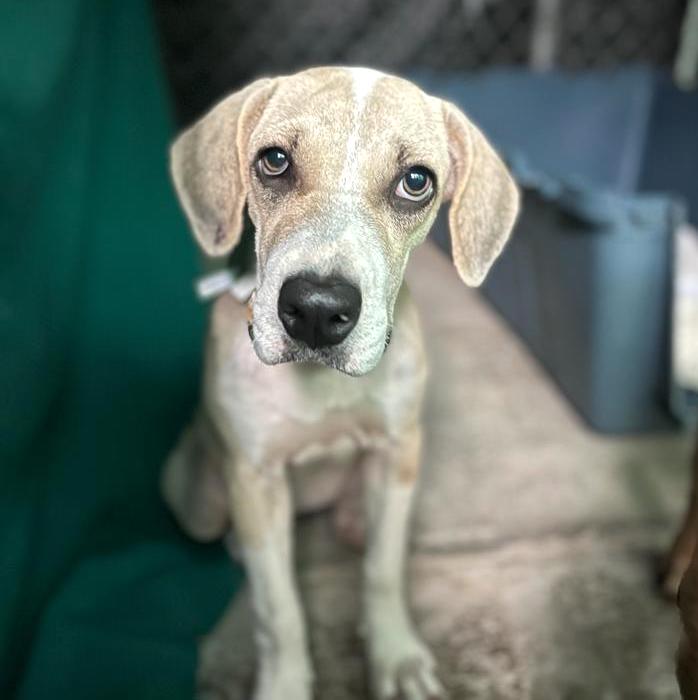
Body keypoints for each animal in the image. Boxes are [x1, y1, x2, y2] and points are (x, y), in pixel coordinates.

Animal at [162, 67, 516, 700]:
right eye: (274, 161)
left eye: (416, 182)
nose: (316, 310)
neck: (319, 383)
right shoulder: (255, 476)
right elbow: (278, 609)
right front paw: (284, 684)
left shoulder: (397, 452)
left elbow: (382, 571)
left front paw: (396, 657)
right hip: (193, 495)